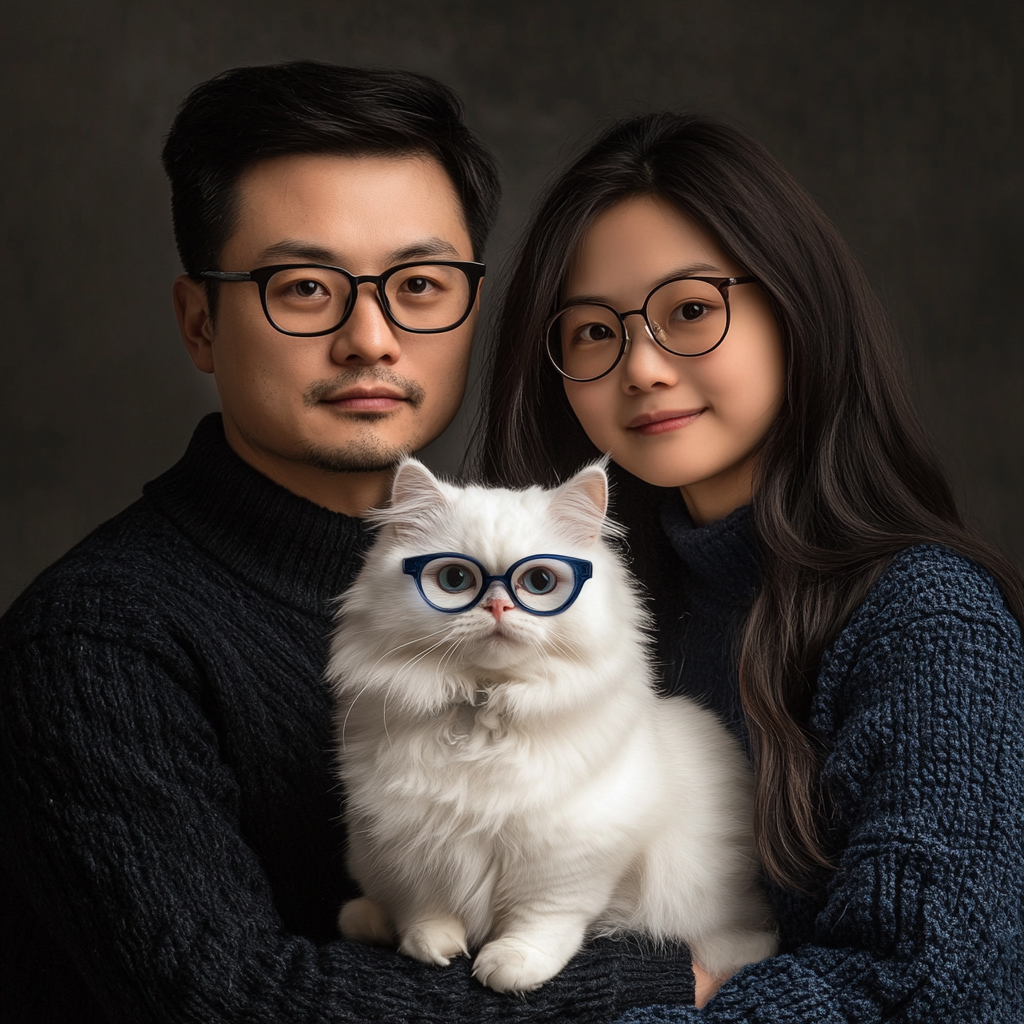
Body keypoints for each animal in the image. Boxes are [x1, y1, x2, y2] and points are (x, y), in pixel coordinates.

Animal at [327, 462, 774, 991]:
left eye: (538, 582)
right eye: (456, 579)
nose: (498, 608)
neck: (482, 715)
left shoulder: (571, 853)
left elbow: (542, 919)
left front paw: (510, 966)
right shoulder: (405, 842)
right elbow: (424, 907)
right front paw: (433, 946)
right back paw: (367, 920)